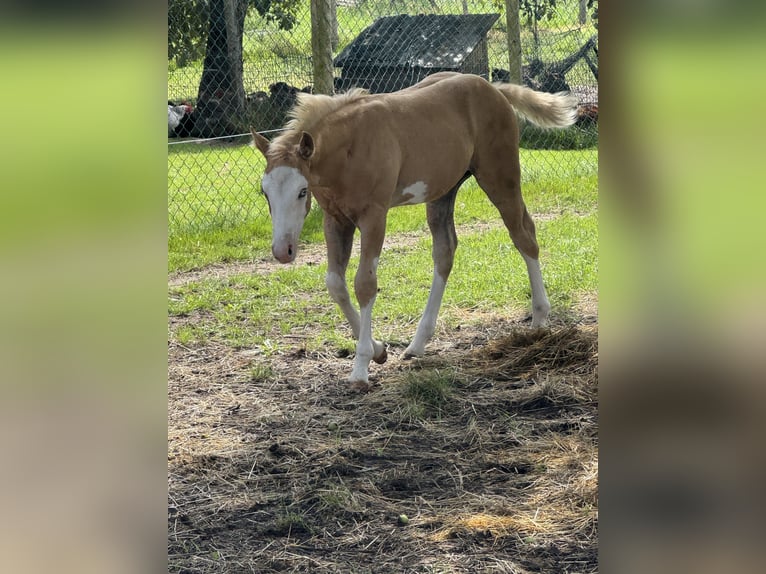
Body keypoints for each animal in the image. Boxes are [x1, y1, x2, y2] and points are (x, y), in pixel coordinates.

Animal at [251, 72, 578, 390]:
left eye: (301, 191)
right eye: (265, 192)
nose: (283, 251)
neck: (350, 148)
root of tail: (492, 87)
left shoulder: (374, 216)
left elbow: (364, 284)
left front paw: (361, 368)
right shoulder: (336, 220)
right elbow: (335, 284)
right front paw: (380, 350)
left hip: (500, 176)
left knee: (524, 235)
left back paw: (539, 317)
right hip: (443, 192)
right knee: (445, 252)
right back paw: (418, 343)